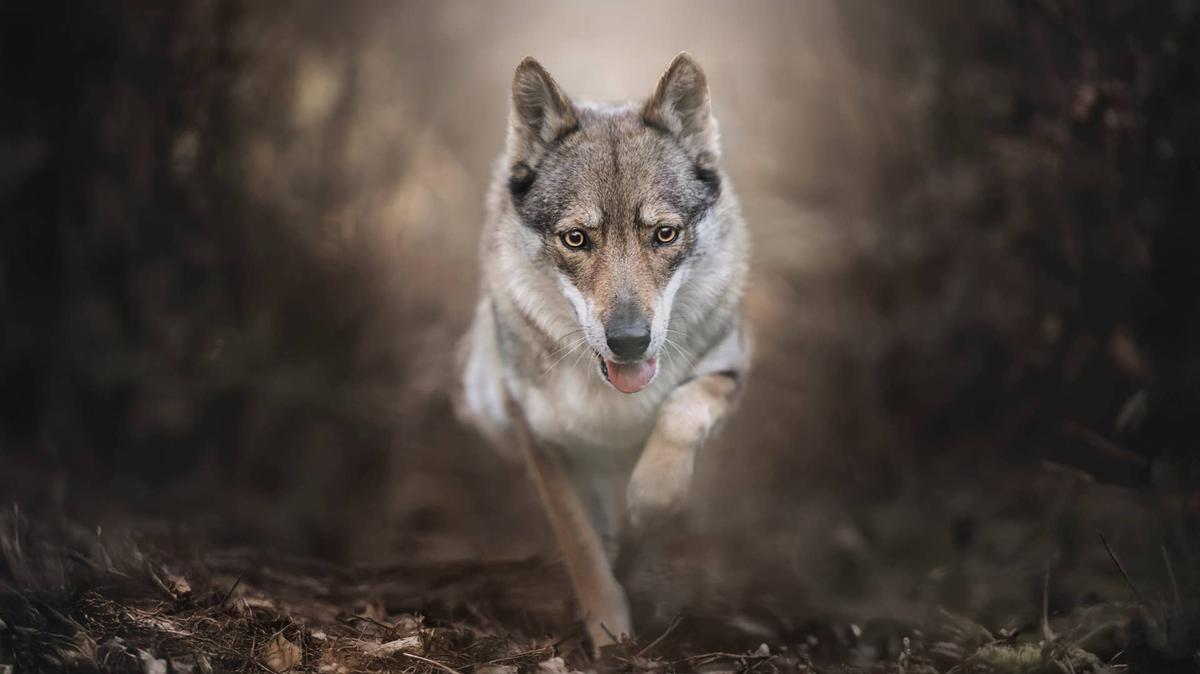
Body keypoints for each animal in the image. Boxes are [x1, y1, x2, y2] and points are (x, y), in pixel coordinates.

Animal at [456, 52, 750, 650]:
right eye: (576, 239)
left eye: (664, 234)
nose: (630, 340)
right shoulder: (540, 436)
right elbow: (581, 543)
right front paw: (609, 630)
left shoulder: (729, 368)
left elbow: (681, 413)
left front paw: (651, 500)